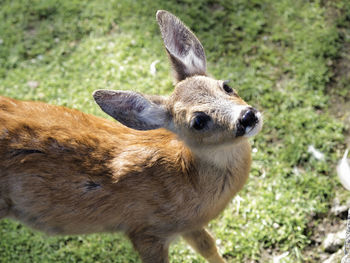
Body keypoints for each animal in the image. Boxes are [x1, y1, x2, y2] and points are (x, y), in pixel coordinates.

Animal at [0, 9, 262, 262]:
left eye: (226, 86)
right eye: (198, 121)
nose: (247, 116)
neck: (186, 177)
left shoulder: (188, 225)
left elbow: (208, 247)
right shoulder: (145, 230)